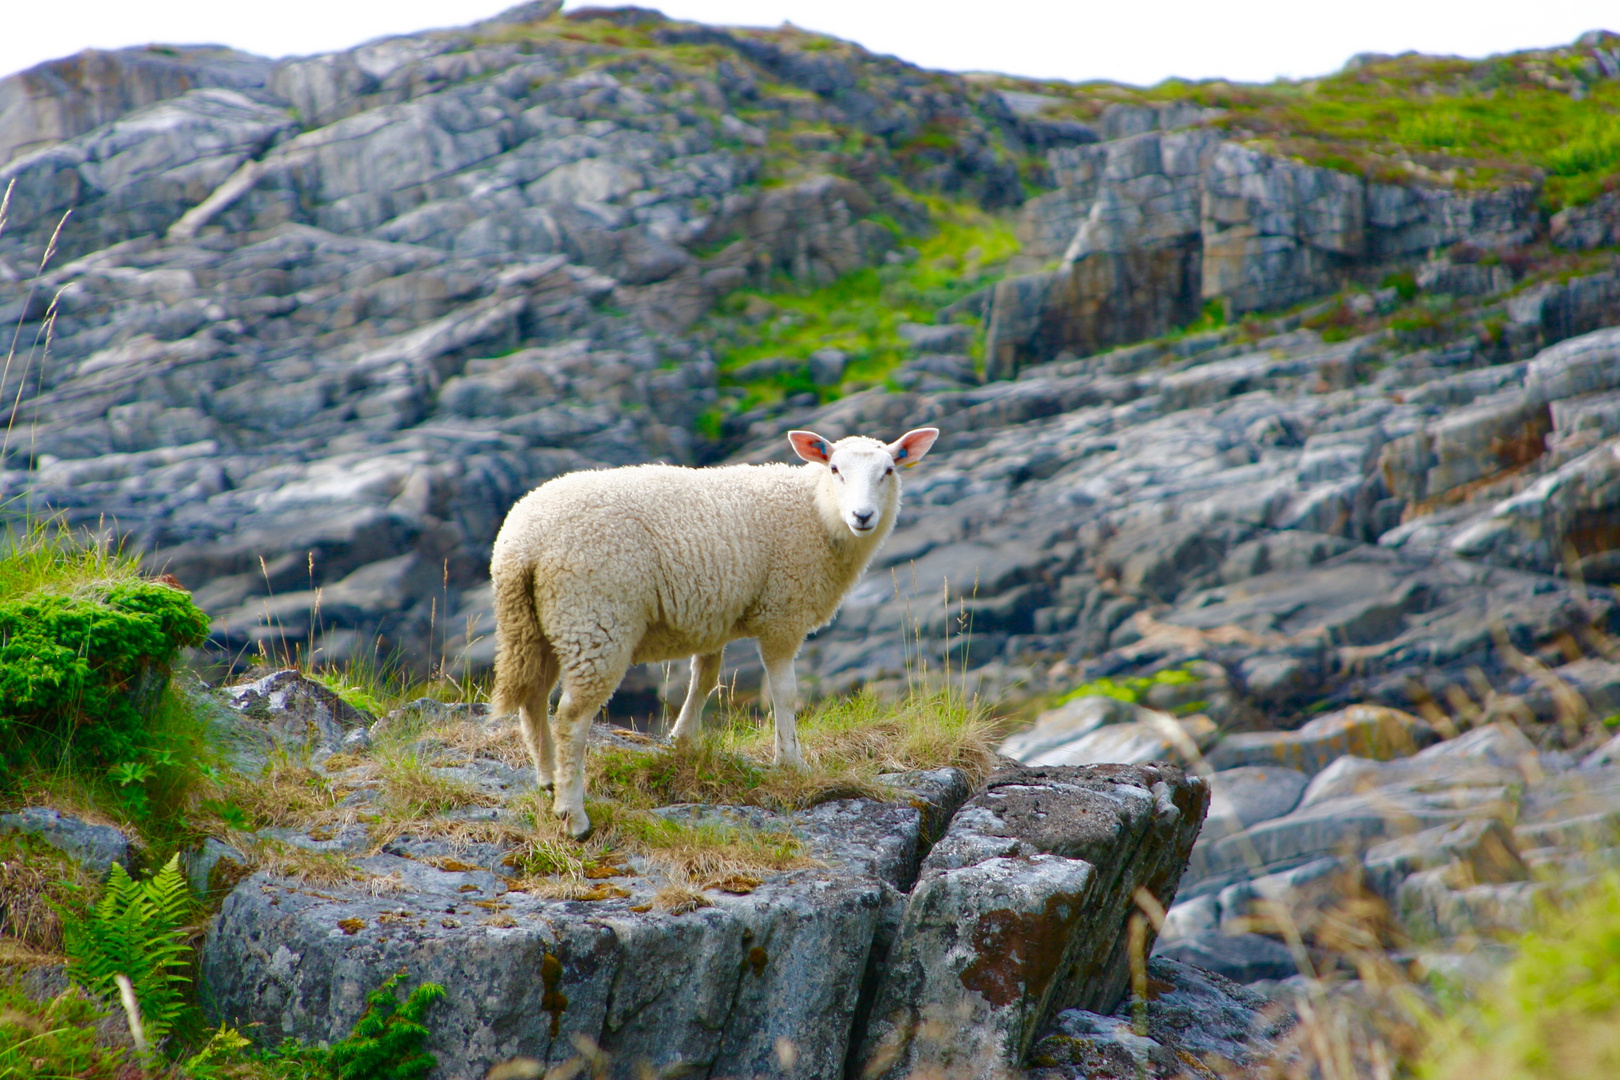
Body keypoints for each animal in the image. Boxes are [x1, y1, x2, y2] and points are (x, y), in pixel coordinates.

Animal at [489, 427, 939, 841]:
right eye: (834, 469)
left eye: (889, 470)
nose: (863, 517)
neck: (813, 510)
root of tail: (522, 544)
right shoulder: (782, 613)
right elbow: (784, 693)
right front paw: (791, 762)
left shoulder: (713, 614)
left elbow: (704, 678)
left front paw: (681, 739)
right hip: (595, 618)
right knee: (570, 718)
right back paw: (573, 815)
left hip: (534, 624)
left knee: (532, 699)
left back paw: (547, 779)